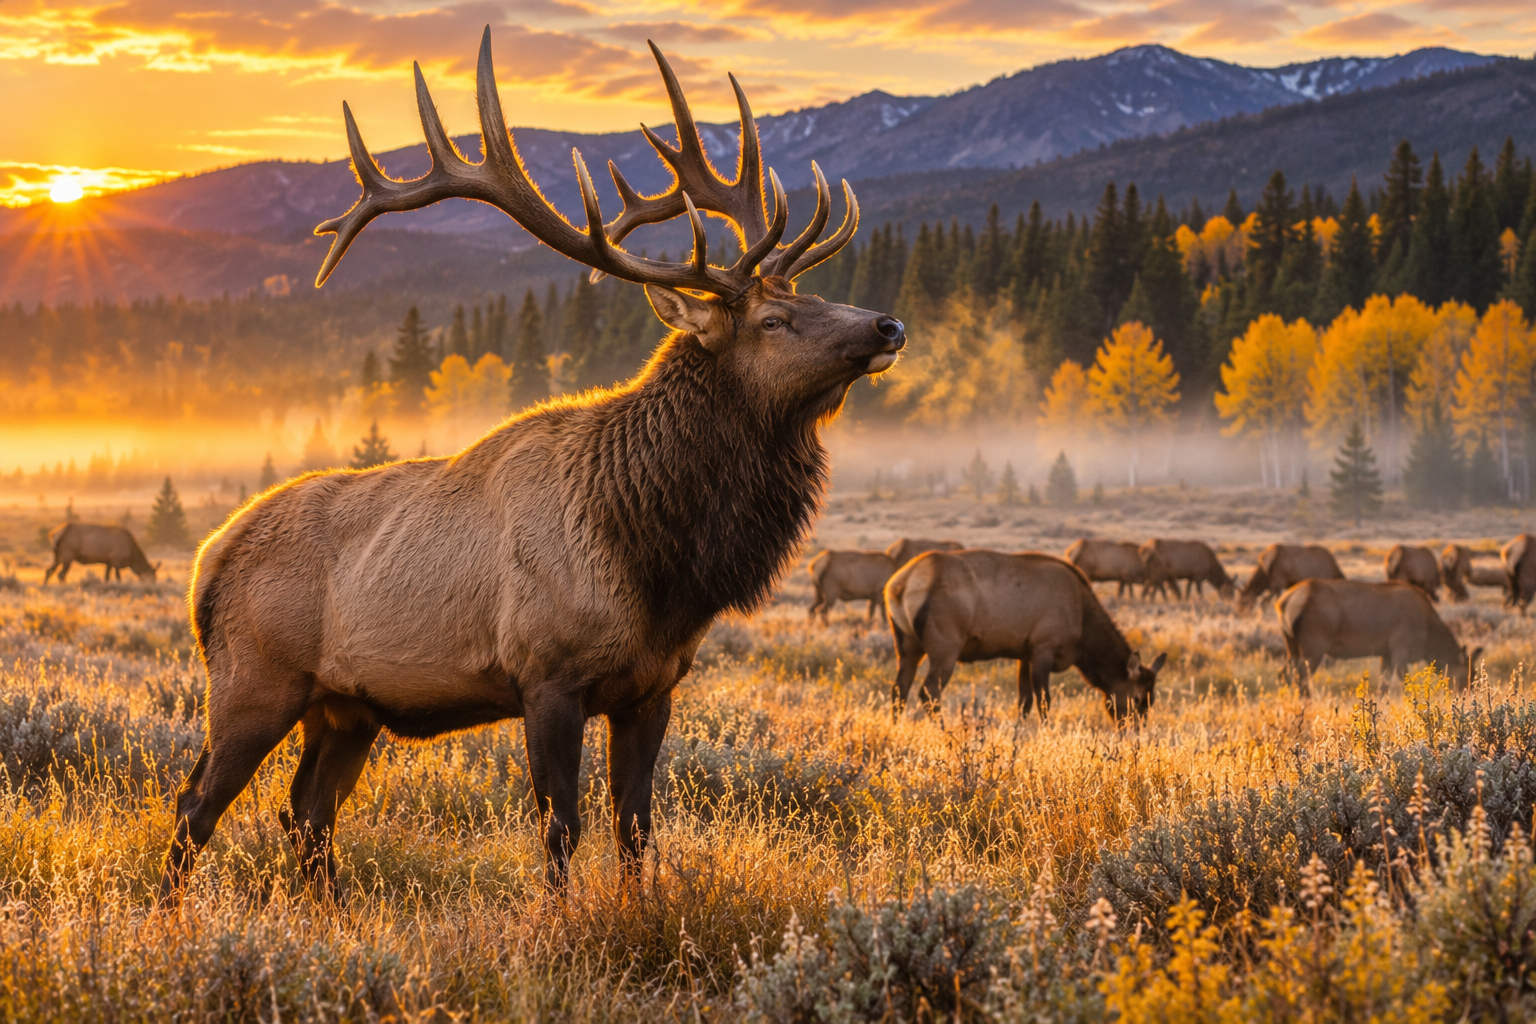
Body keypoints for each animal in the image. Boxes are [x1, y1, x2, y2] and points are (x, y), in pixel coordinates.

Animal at [156, 28, 904, 903]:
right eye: (776, 321)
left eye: (810, 298)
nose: (887, 325)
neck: (659, 564)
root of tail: (207, 562)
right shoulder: (547, 673)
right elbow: (561, 827)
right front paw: (560, 920)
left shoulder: (653, 687)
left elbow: (636, 827)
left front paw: (638, 911)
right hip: (252, 679)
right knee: (196, 804)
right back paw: (172, 916)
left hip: (345, 706)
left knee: (307, 810)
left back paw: (328, 911)